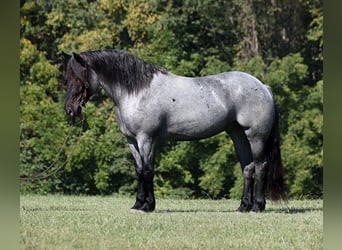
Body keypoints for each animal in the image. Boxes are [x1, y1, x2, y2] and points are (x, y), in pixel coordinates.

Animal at [64, 49, 286, 213]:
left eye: (77, 78)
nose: (69, 109)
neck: (136, 91)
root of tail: (263, 87)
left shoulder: (146, 139)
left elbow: (148, 170)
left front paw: (148, 206)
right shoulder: (132, 141)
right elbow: (139, 171)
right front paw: (137, 204)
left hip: (255, 137)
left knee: (261, 166)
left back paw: (257, 207)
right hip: (238, 135)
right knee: (247, 168)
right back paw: (243, 207)